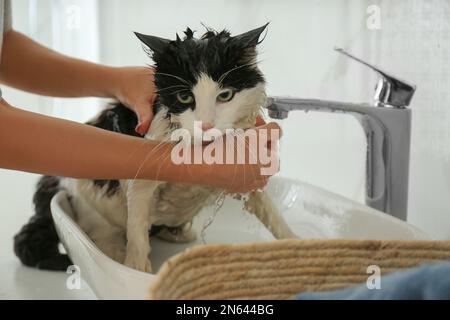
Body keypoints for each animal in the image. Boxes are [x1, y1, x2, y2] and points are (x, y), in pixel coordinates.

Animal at [13, 23, 296, 272]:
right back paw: (115, 253)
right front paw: (136, 269)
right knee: (103, 235)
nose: (205, 125)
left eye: (225, 95)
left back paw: (177, 232)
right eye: (185, 97)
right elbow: (137, 229)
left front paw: (298, 248)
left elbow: (273, 215)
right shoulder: (142, 173)